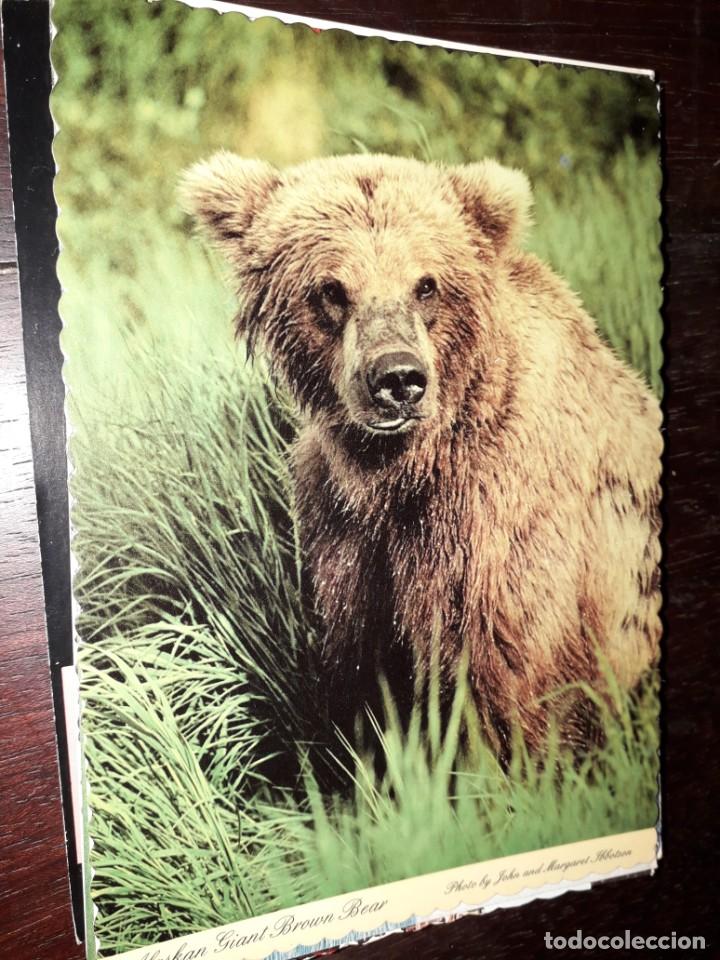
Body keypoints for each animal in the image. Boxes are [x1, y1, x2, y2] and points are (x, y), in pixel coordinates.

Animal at [181, 152, 662, 758]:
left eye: (426, 284)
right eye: (332, 289)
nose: (397, 378)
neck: (402, 470)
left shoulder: (495, 537)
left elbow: (501, 689)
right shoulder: (346, 539)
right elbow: (366, 687)